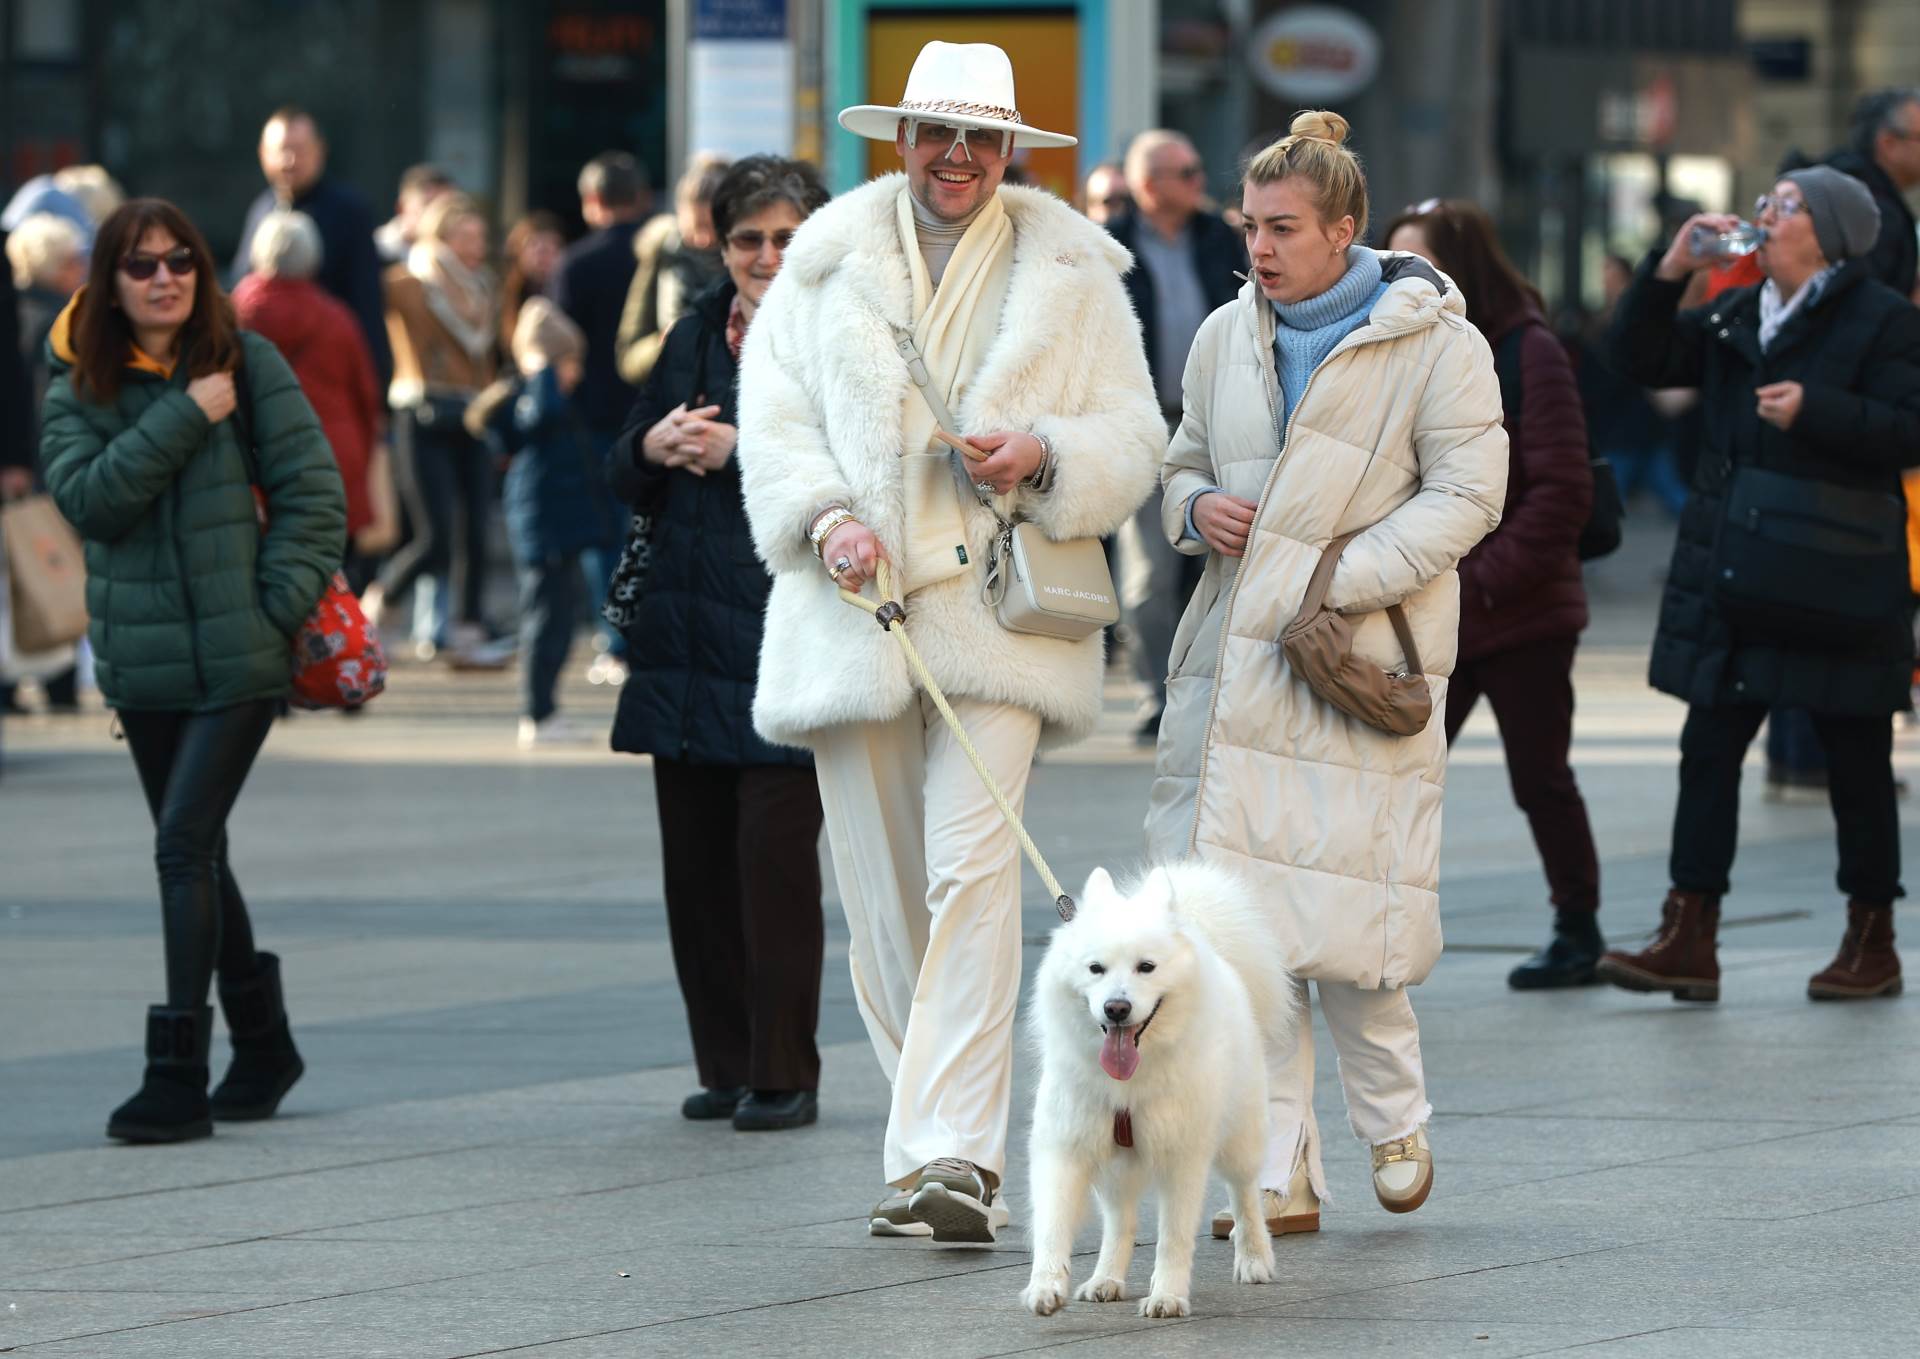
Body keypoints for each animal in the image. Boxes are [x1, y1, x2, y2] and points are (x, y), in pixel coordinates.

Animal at [1021, 859, 1290, 1312]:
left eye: (1146, 967)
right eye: (1096, 968)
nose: (1116, 1007)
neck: (1127, 1086)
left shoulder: (1182, 1156)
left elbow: (1174, 1238)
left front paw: (1167, 1295)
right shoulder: (1065, 1148)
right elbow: (1052, 1227)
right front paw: (1046, 1287)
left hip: (1240, 1138)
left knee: (1245, 1194)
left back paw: (1255, 1259)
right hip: (1115, 1167)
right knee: (1120, 1222)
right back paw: (1106, 1279)